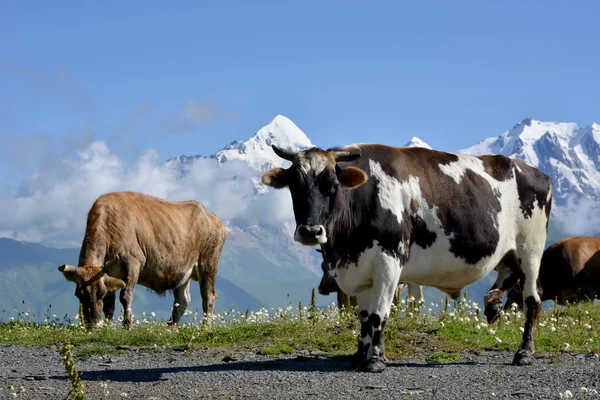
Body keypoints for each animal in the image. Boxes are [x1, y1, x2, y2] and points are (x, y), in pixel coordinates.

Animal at [58, 192, 227, 330]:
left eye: (100, 293)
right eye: (79, 294)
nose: (92, 325)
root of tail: (213, 218)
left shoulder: (133, 263)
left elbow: (125, 296)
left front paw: (128, 325)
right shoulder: (109, 274)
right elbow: (109, 305)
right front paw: (107, 326)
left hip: (208, 263)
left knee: (208, 295)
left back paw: (205, 327)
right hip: (183, 271)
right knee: (182, 300)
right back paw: (170, 327)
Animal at [262, 143, 552, 372]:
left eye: (332, 186)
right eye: (295, 187)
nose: (311, 231)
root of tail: (535, 172)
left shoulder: (389, 260)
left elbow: (378, 314)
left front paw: (375, 360)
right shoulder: (360, 266)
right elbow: (364, 315)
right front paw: (359, 355)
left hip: (530, 248)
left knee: (532, 299)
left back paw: (524, 353)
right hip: (507, 251)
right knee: (509, 276)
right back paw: (492, 303)